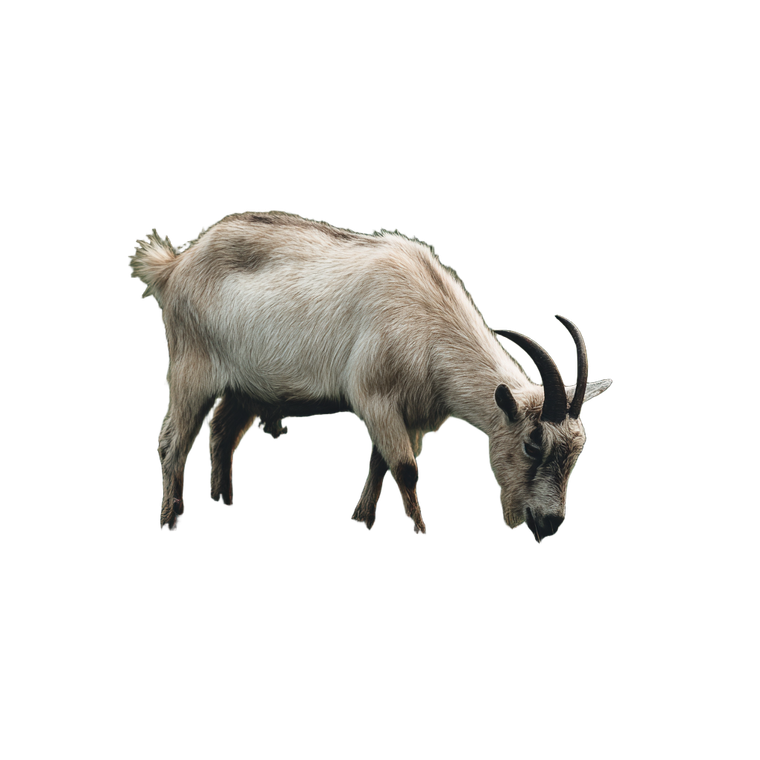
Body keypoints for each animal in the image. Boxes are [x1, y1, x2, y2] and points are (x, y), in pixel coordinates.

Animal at [130, 210, 613, 540]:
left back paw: (224, 501)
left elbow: (381, 463)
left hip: (245, 386)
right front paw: (420, 531)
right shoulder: (376, 397)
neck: (427, 316)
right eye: (532, 445)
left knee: (223, 433)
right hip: (193, 367)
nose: (548, 523)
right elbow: (406, 470)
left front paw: (362, 520)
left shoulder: (407, 412)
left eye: (576, 452)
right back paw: (171, 519)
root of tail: (174, 266)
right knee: (174, 440)